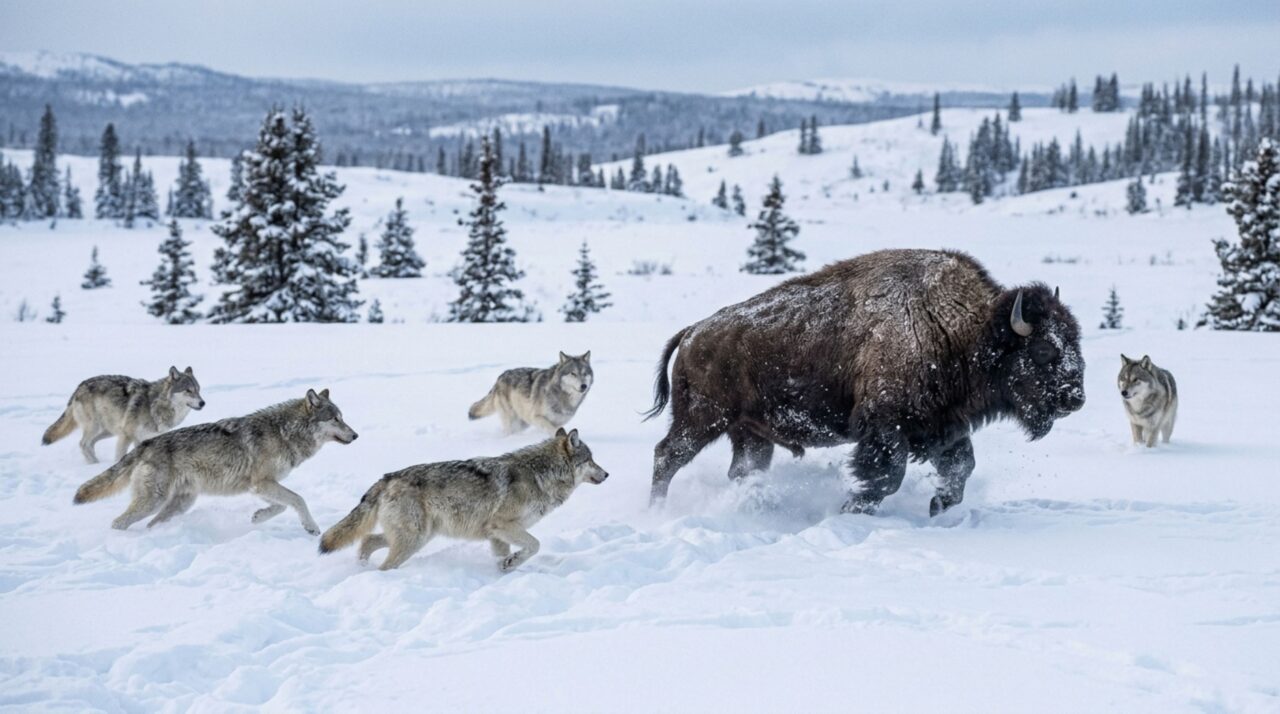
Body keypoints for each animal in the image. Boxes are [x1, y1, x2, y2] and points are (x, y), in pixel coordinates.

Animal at [43, 366, 206, 463]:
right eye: (188, 390)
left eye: (198, 390)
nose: (203, 403)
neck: (154, 404)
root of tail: (79, 386)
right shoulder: (128, 436)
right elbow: (120, 457)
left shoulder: (144, 439)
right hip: (97, 427)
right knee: (83, 444)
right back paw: (94, 465)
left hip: (109, 432)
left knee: (90, 444)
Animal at [73, 389, 357, 533]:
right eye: (335, 419)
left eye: (343, 418)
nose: (355, 435)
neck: (284, 432)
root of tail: (146, 444)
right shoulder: (262, 483)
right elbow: (298, 500)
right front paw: (311, 527)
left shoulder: (261, 486)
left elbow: (282, 505)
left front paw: (258, 517)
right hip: (152, 501)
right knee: (119, 522)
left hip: (178, 504)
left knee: (152, 524)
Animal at [319, 428, 607, 571]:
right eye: (591, 460)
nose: (607, 474)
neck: (541, 474)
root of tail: (387, 477)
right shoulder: (502, 526)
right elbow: (535, 545)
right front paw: (511, 564)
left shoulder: (496, 535)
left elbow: (508, 556)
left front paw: (505, 569)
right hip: (414, 540)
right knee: (383, 563)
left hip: (418, 536)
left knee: (367, 540)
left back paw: (360, 567)